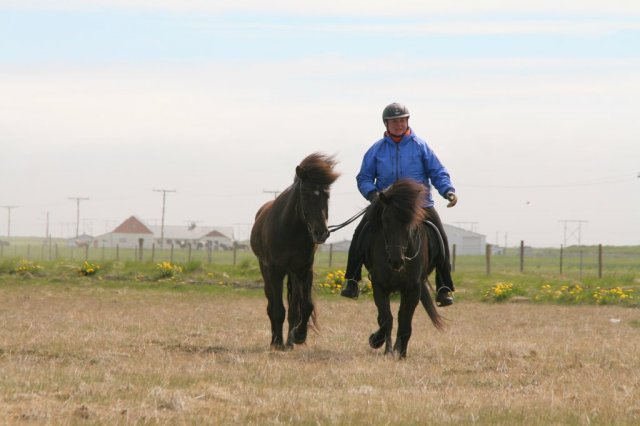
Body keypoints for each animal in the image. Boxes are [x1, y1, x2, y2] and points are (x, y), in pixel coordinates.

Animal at [250, 152, 340, 350]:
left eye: (327, 195)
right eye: (305, 194)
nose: (321, 233)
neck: (290, 229)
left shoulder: (303, 271)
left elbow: (304, 307)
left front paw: (298, 336)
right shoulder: (275, 271)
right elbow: (277, 309)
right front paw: (277, 342)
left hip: (293, 274)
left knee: (293, 309)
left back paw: (290, 341)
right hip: (265, 270)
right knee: (271, 305)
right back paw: (276, 340)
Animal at [364, 178, 444, 358]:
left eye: (410, 221)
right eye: (385, 219)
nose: (396, 261)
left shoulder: (413, 289)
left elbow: (405, 322)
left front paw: (401, 354)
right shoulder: (379, 286)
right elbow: (385, 319)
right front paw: (379, 343)